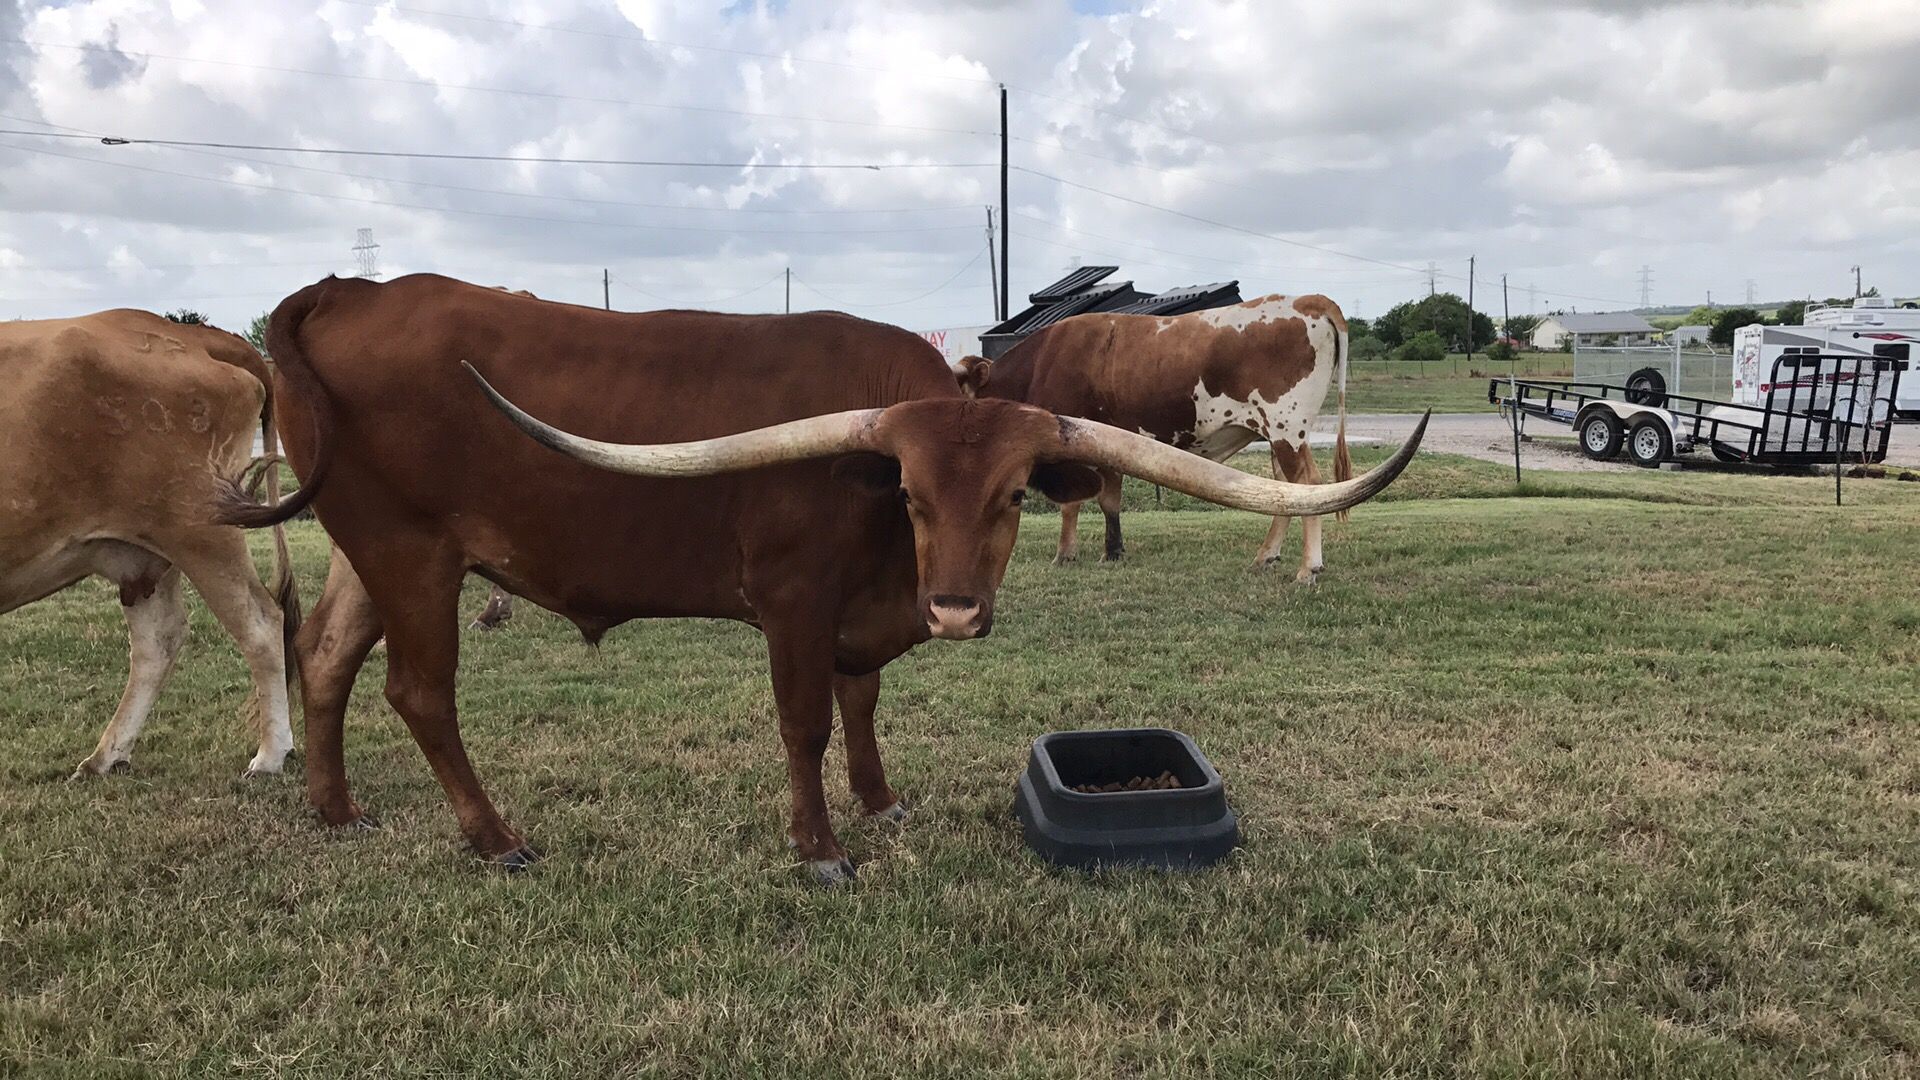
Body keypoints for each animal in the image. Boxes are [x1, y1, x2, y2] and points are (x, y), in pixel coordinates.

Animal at [0, 309, 295, 778]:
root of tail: (187, 334)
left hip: (203, 530)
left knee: (262, 625)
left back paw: (270, 755)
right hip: (143, 551)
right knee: (159, 641)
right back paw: (106, 755)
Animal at [954, 295, 1354, 583]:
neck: (1041, 363)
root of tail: (1308, 300)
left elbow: (1073, 503)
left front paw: (1065, 554)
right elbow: (1109, 500)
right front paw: (1113, 551)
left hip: (1287, 429)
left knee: (1307, 484)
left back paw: (1307, 568)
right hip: (1277, 435)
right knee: (1286, 491)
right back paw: (1265, 556)